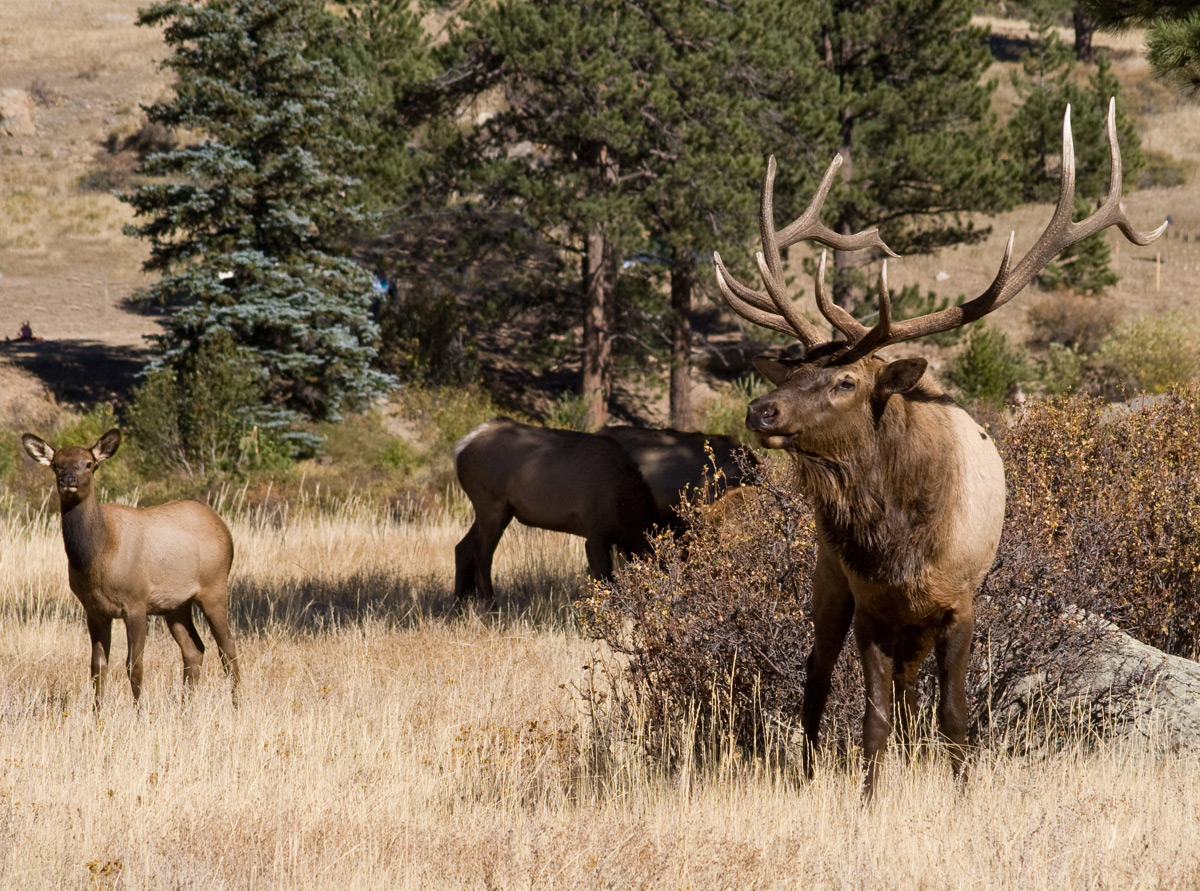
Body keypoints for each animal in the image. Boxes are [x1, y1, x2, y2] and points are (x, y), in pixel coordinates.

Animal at [22, 428, 240, 708]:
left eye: (89, 464)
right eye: (56, 464)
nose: (68, 479)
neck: (100, 554)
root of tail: (224, 529)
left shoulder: (136, 602)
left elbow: (134, 665)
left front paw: (138, 712)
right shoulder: (94, 609)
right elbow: (97, 666)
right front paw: (97, 712)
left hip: (215, 586)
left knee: (228, 647)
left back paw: (237, 705)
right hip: (176, 605)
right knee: (194, 648)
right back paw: (186, 708)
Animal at [453, 418, 660, 605]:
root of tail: (460, 450)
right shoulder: (596, 531)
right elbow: (605, 578)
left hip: (494, 511)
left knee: (462, 548)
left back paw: (458, 605)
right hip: (492, 505)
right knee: (482, 556)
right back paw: (491, 606)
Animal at [712, 100, 1165, 797]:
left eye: (846, 381)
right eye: (791, 372)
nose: (760, 409)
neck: (901, 546)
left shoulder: (959, 604)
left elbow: (953, 714)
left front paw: (961, 793)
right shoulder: (871, 608)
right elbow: (870, 720)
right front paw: (869, 803)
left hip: (912, 624)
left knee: (907, 697)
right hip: (828, 581)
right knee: (818, 678)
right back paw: (810, 771)